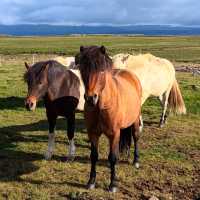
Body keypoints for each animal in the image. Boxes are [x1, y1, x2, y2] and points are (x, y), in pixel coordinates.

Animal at [78, 45, 142, 192]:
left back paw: (136, 161)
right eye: (82, 69)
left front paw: (113, 184)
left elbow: (112, 157)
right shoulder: (93, 133)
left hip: (135, 120)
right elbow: (94, 156)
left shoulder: (113, 134)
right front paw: (91, 181)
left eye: (101, 70)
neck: (101, 106)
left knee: (135, 137)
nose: (90, 98)